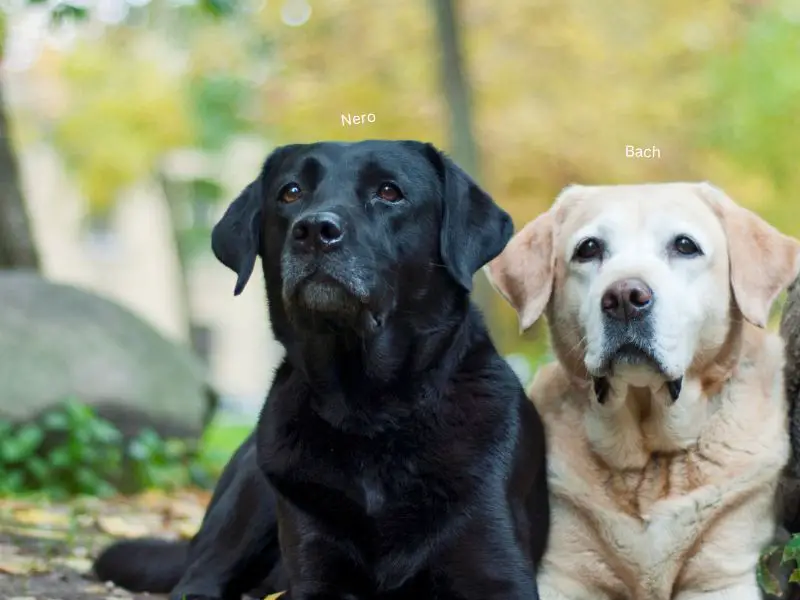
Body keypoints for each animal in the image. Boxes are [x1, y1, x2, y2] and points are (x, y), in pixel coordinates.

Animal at [90, 142, 548, 600]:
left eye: (389, 191)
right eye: (291, 192)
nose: (313, 231)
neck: (369, 413)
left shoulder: (497, 572)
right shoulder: (314, 570)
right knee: (198, 577)